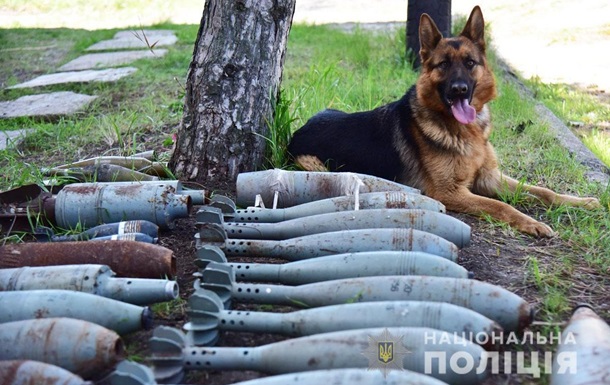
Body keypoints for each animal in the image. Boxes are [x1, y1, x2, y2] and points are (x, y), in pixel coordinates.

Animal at [286, 6, 600, 236]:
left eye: (470, 63)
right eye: (444, 65)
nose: (459, 89)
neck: (465, 131)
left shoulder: (489, 177)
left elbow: (542, 191)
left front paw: (582, 202)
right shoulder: (450, 192)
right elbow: (500, 207)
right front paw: (532, 222)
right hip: (313, 164)